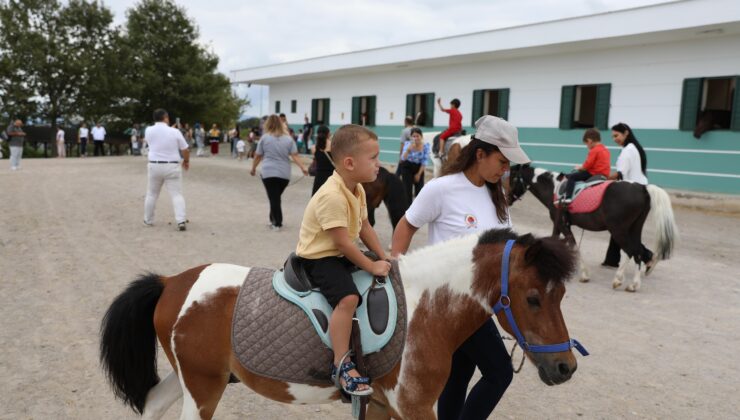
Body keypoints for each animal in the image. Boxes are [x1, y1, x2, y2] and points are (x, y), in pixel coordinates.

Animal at [99, 228, 584, 418]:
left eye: (562, 295)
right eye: (534, 298)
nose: (566, 368)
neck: (425, 308)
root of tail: (171, 283)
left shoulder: (383, 408)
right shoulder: (414, 408)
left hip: (193, 379)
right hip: (203, 388)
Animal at [508, 164, 676, 292]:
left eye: (512, 178)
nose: (507, 198)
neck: (554, 188)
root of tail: (642, 187)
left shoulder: (562, 224)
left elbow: (573, 246)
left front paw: (583, 274)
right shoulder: (560, 225)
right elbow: (558, 242)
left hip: (618, 230)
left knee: (631, 251)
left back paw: (618, 279)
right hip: (634, 229)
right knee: (638, 251)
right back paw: (634, 284)